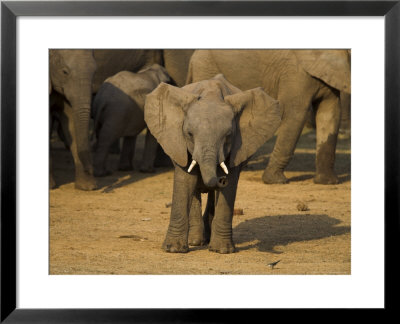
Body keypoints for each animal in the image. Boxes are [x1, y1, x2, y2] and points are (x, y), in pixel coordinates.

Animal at [49, 48, 162, 190]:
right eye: (64, 72)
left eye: (94, 72)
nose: (89, 169)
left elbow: (72, 122)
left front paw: (88, 187)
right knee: (107, 136)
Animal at [145, 74, 282, 253]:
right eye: (189, 134)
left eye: (228, 135)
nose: (221, 179)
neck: (211, 96)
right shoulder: (179, 143)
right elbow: (185, 180)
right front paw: (173, 249)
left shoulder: (238, 147)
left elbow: (229, 187)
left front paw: (222, 250)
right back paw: (196, 241)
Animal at [188, 49, 350, 184]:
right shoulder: (295, 73)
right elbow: (295, 114)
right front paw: (275, 181)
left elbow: (330, 113)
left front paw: (328, 182)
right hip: (206, 68)